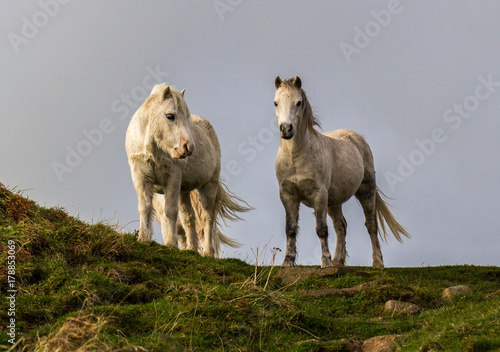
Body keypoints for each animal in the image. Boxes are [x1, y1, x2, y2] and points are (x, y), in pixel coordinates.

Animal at [126, 84, 249, 258]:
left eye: (186, 117)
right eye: (170, 116)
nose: (188, 147)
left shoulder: (172, 178)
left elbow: (170, 212)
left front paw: (171, 245)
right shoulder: (140, 177)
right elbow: (144, 207)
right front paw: (144, 239)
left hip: (208, 186)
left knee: (207, 218)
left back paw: (207, 252)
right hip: (184, 191)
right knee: (188, 218)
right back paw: (191, 249)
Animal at [274, 77, 410, 268]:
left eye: (298, 102)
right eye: (276, 103)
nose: (286, 129)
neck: (297, 157)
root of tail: (357, 137)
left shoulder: (319, 195)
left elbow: (321, 229)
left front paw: (325, 263)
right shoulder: (288, 195)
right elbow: (291, 229)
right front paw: (287, 262)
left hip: (366, 191)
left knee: (371, 225)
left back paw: (377, 262)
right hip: (334, 201)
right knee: (341, 226)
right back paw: (338, 261)